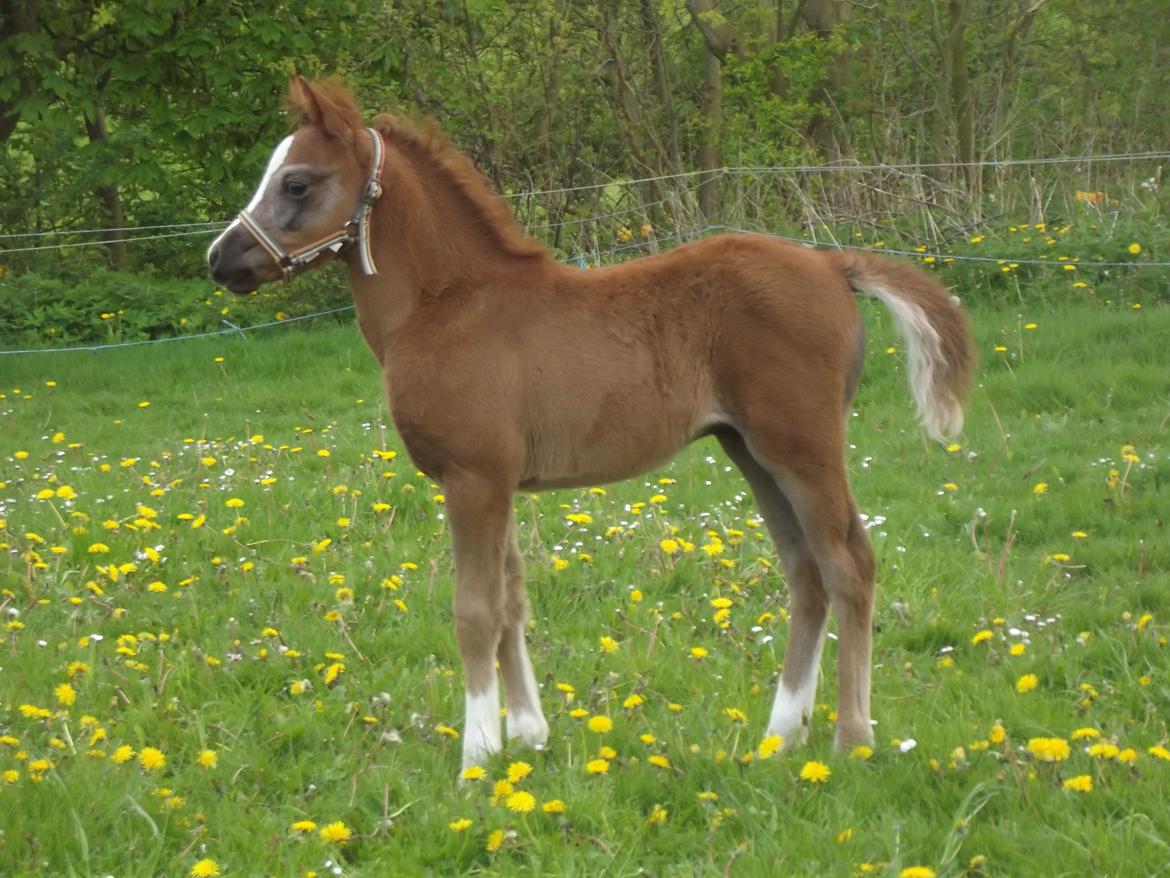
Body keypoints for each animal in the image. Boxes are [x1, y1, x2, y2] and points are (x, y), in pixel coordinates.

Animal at [207, 76, 974, 773]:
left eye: (297, 184)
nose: (222, 259)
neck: (448, 305)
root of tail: (831, 263)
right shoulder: (499, 481)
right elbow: (513, 602)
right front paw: (528, 734)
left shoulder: (471, 479)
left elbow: (475, 611)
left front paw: (477, 756)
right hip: (751, 451)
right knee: (805, 571)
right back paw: (781, 735)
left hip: (802, 447)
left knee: (849, 564)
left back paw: (852, 738)